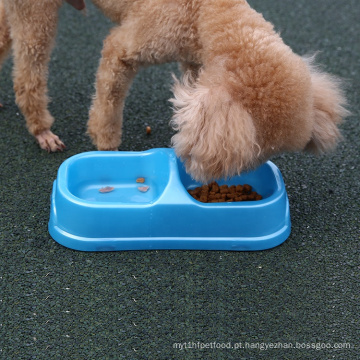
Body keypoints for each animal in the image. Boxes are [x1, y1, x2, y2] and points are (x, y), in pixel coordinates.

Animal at [0, 0, 348, 183]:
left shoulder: (196, 62)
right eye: (256, 154)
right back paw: (41, 129)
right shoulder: (125, 47)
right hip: (35, 12)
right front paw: (107, 147)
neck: (208, 11)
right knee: (28, 70)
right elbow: (109, 99)